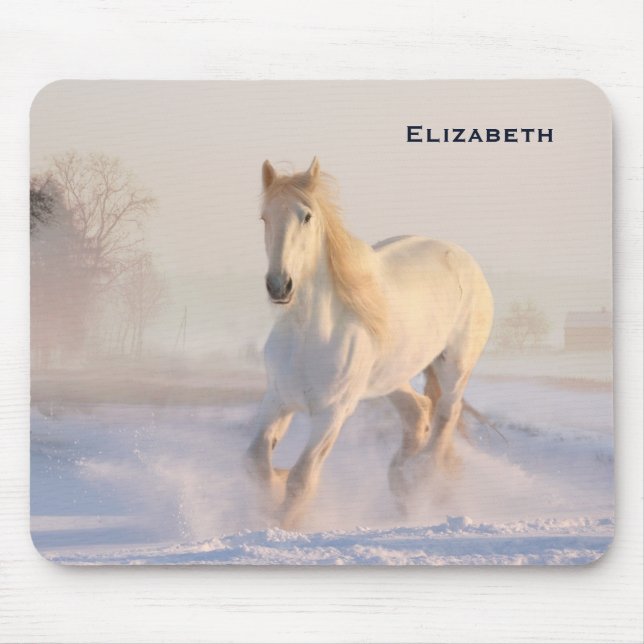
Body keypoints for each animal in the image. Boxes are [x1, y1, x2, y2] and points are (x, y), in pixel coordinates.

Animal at [245, 157, 494, 529]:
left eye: (306, 216)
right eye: (265, 217)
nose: (279, 285)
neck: (308, 335)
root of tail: (463, 258)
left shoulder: (333, 413)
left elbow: (302, 479)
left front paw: (283, 523)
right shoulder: (278, 399)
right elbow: (257, 463)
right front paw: (274, 488)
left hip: (455, 366)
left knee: (446, 415)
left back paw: (420, 477)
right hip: (390, 378)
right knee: (418, 412)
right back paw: (402, 482)